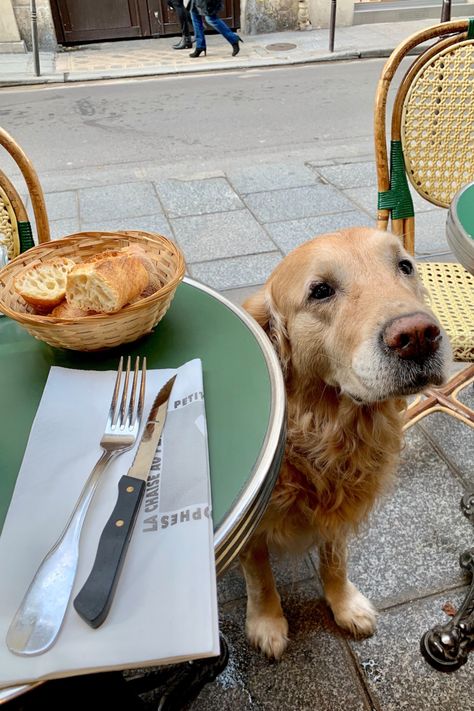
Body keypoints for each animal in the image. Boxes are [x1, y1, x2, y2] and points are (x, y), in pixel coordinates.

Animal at [241, 228, 452, 660]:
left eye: (404, 266)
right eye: (320, 290)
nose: (417, 336)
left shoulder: (339, 507)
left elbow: (334, 560)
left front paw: (344, 604)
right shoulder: (252, 526)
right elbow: (259, 574)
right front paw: (267, 621)